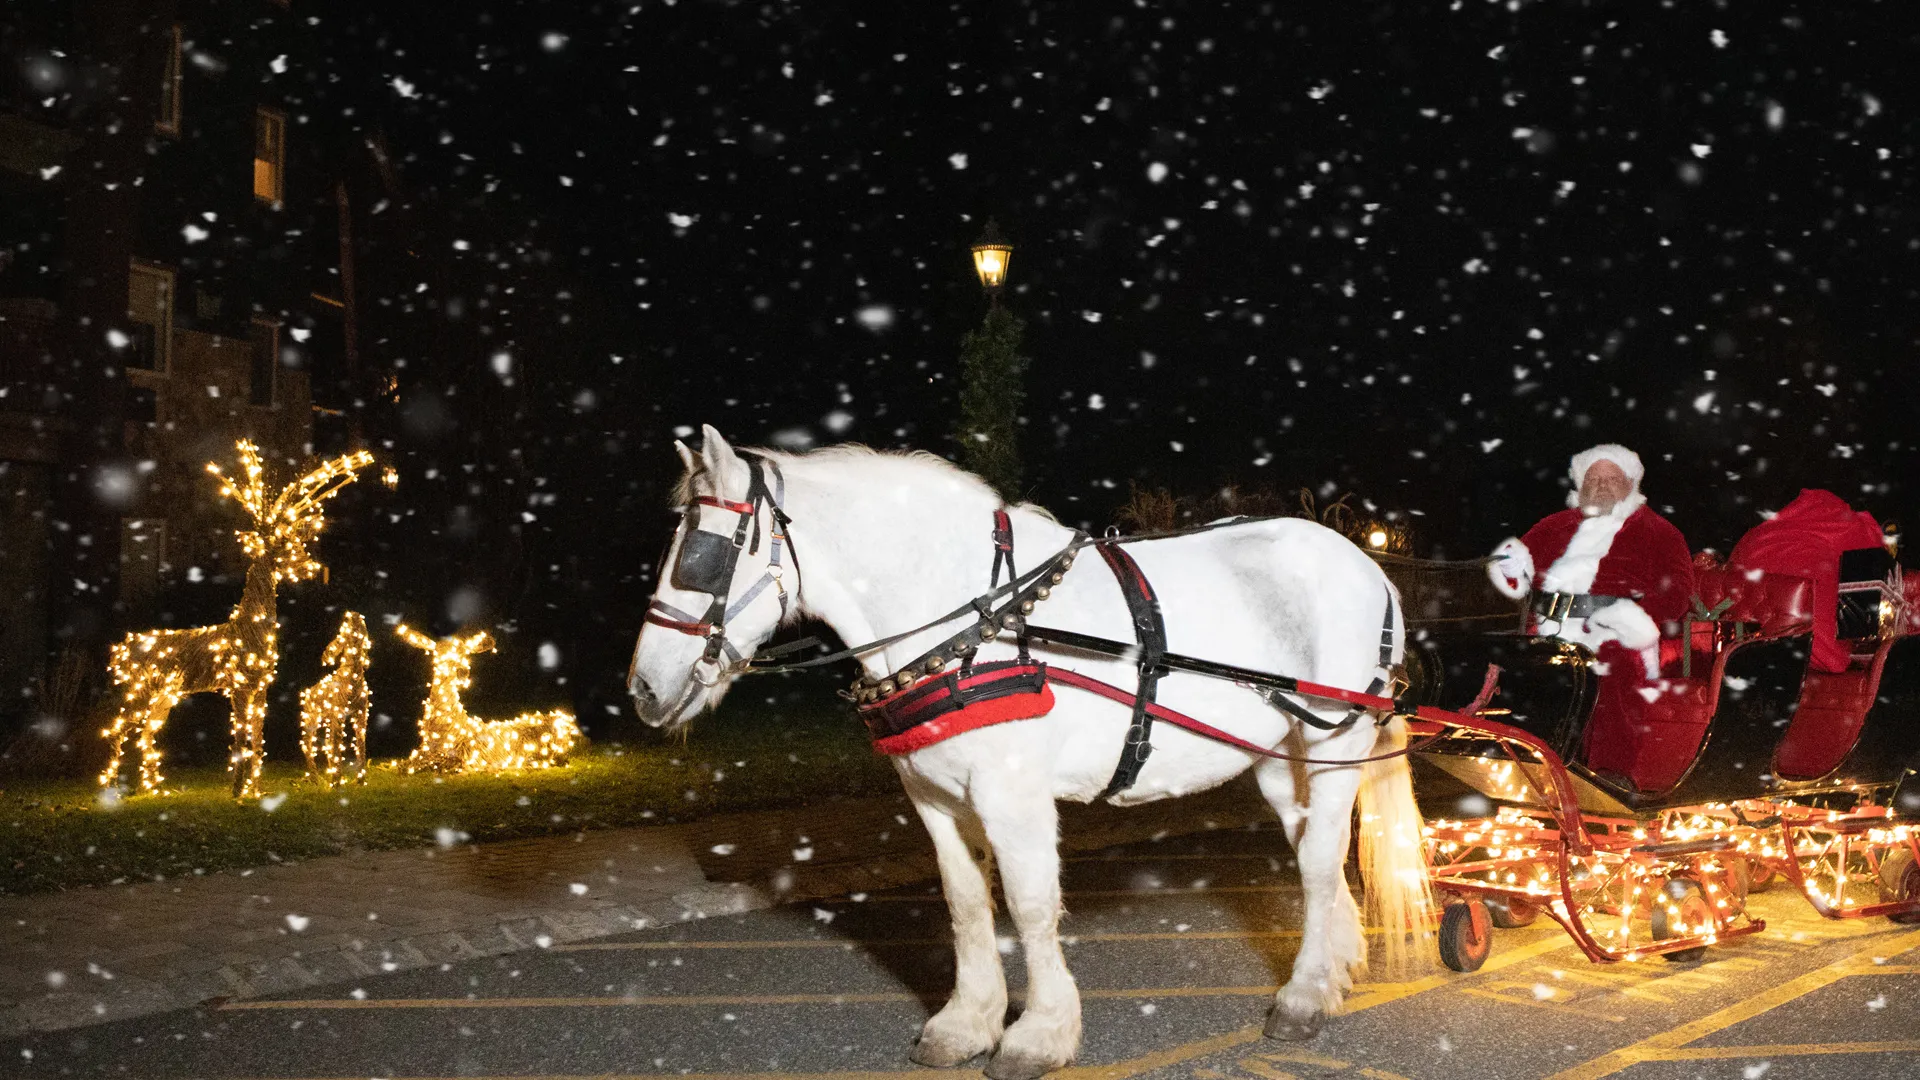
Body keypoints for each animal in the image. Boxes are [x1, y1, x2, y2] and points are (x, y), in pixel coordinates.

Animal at [626, 426, 1433, 1080]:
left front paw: (1038, 1034)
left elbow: (1031, 903)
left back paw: (1302, 996)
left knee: (1321, 858)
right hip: (1278, 754)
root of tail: (1366, 565)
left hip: (1337, 735)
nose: (643, 687)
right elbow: (965, 902)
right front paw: (966, 1024)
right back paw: (1334, 967)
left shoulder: (1011, 795)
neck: (970, 620)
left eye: (701, 554)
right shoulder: (934, 796)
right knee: (1309, 847)